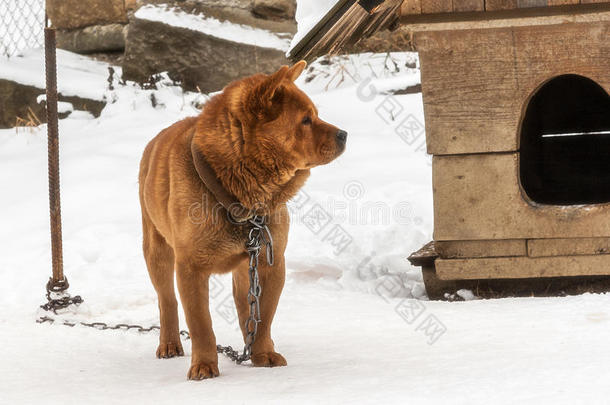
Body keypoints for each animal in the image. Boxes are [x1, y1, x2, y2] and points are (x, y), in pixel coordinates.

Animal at [139, 60, 346, 378]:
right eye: (306, 120)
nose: (344, 134)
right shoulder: (190, 268)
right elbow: (201, 325)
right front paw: (204, 365)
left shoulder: (268, 262)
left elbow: (262, 318)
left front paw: (263, 354)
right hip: (156, 250)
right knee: (167, 301)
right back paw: (170, 343)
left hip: (244, 267)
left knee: (244, 308)